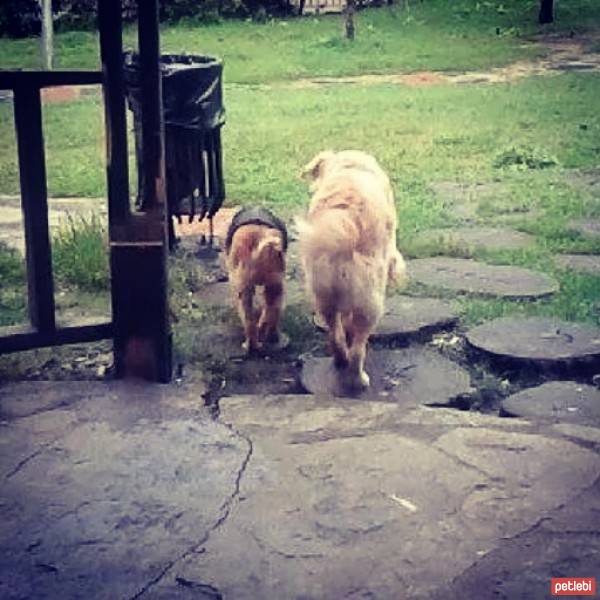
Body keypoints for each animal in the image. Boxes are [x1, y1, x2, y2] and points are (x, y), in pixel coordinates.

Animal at [296, 151, 406, 390]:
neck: (347, 166)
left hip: (324, 296)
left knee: (336, 337)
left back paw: (340, 360)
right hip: (370, 301)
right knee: (357, 350)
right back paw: (359, 380)